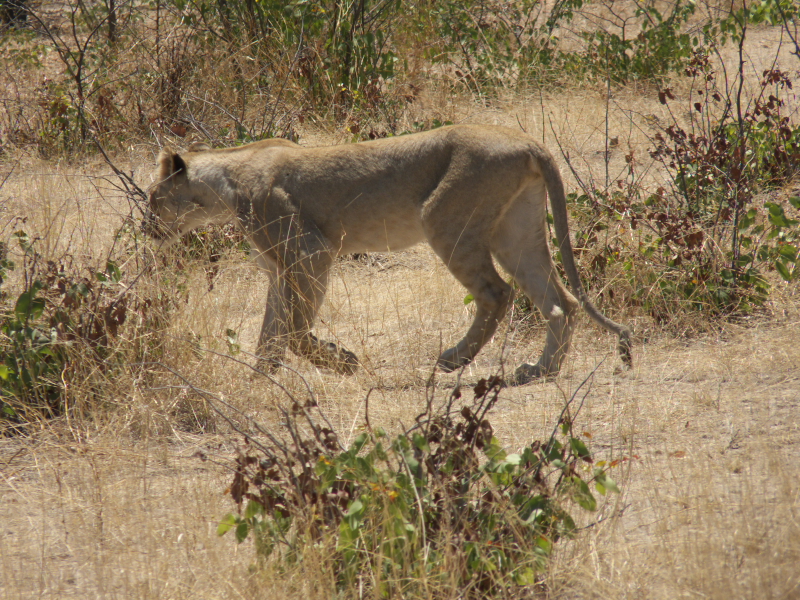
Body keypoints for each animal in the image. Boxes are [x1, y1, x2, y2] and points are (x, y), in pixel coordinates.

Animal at [144, 125, 631, 384]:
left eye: (151, 198)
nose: (147, 229)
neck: (223, 185)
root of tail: (527, 141)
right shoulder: (278, 269)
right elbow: (270, 331)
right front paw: (263, 381)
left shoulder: (311, 253)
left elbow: (296, 330)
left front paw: (342, 362)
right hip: (516, 233)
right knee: (559, 301)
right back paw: (539, 370)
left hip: (444, 221)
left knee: (497, 294)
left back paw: (454, 359)